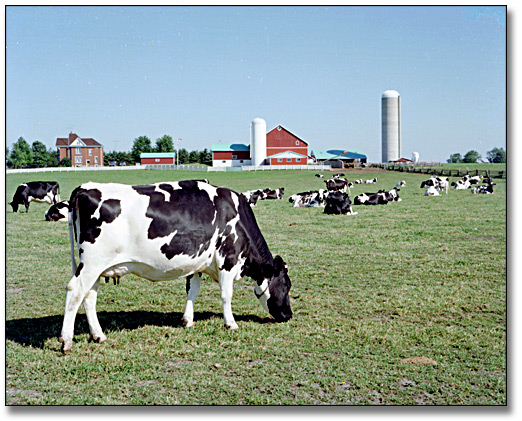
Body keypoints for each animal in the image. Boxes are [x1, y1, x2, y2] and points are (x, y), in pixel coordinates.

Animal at [59, 180, 292, 352]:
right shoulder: (228, 259)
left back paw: (98, 335)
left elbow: (192, 290)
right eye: (287, 285)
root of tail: (84, 188)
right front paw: (231, 323)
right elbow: (226, 294)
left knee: (89, 297)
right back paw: (67, 341)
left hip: (96, 268)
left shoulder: (197, 263)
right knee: (75, 291)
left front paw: (187, 320)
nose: (288, 315)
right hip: (92, 263)